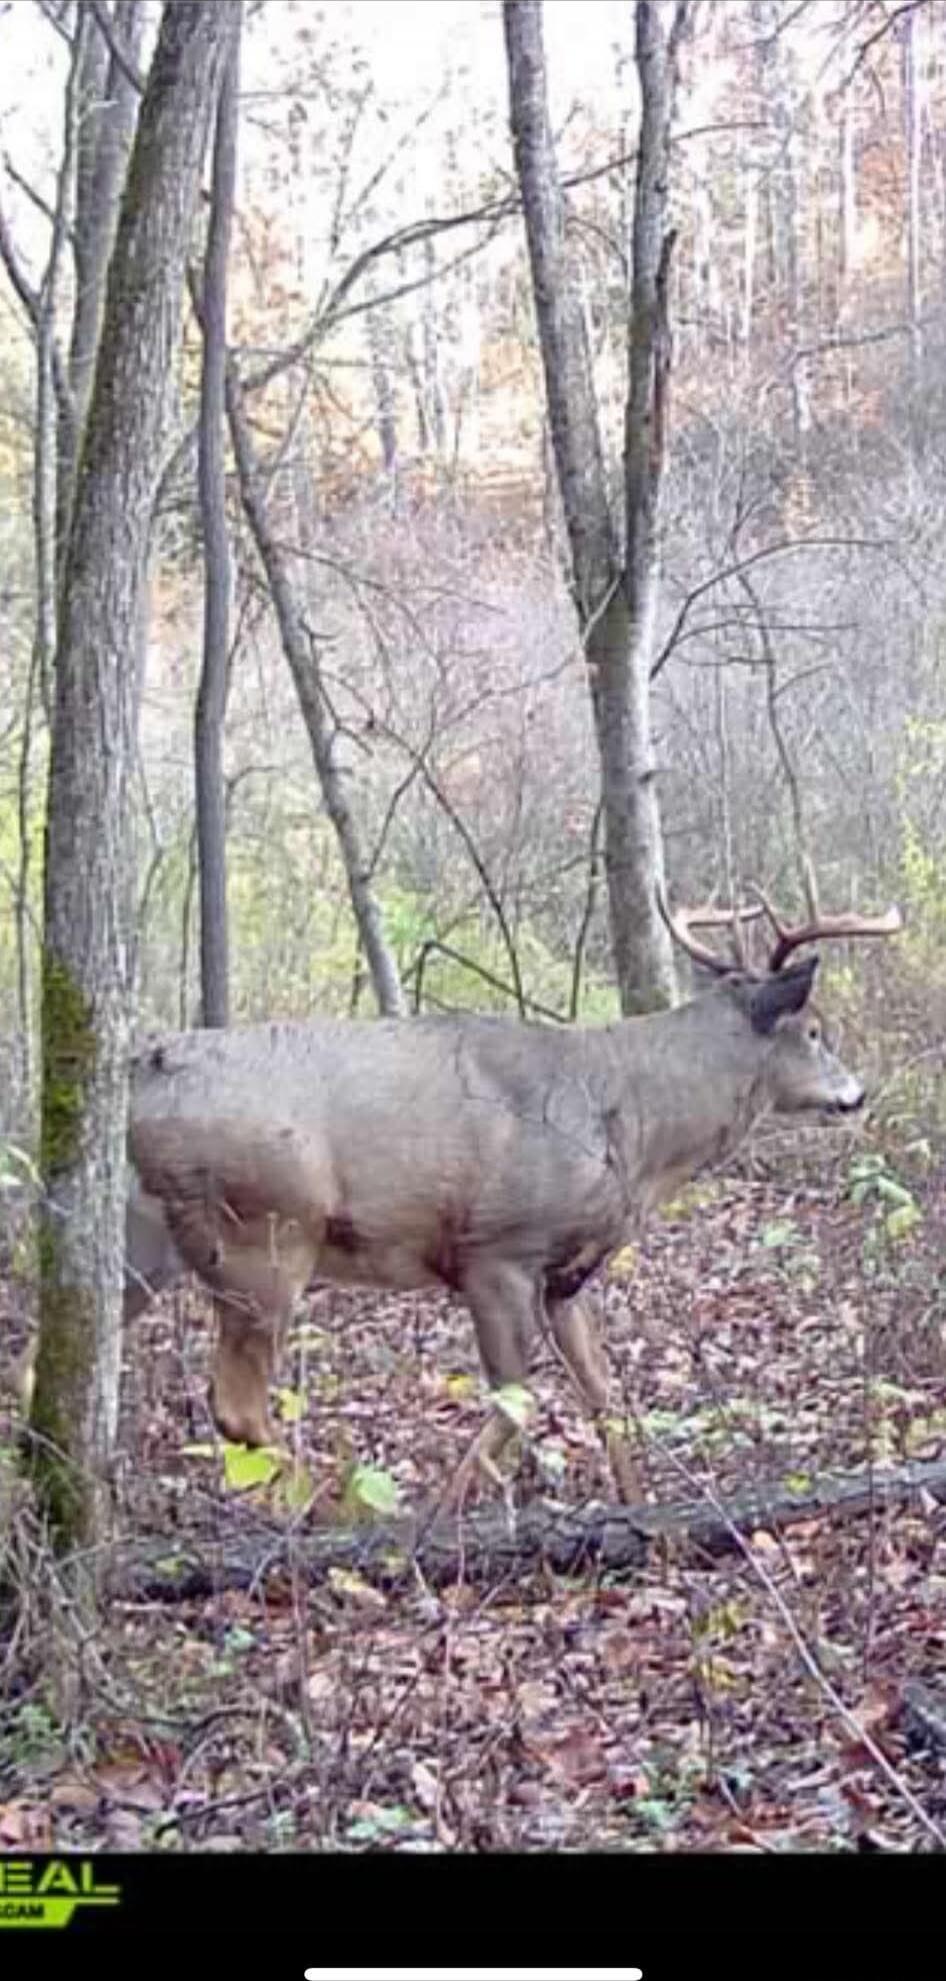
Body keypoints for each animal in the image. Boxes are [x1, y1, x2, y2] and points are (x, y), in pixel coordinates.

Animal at [113, 883, 900, 1509]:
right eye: (815, 1030)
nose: (857, 1095)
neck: (630, 1123)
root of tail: (140, 1073)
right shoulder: (497, 1250)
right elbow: (516, 1400)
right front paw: (438, 1525)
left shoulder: (566, 1274)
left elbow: (601, 1390)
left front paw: (642, 1510)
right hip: (265, 1237)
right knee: (238, 1406)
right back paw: (339, 1515)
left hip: (150, 1247)